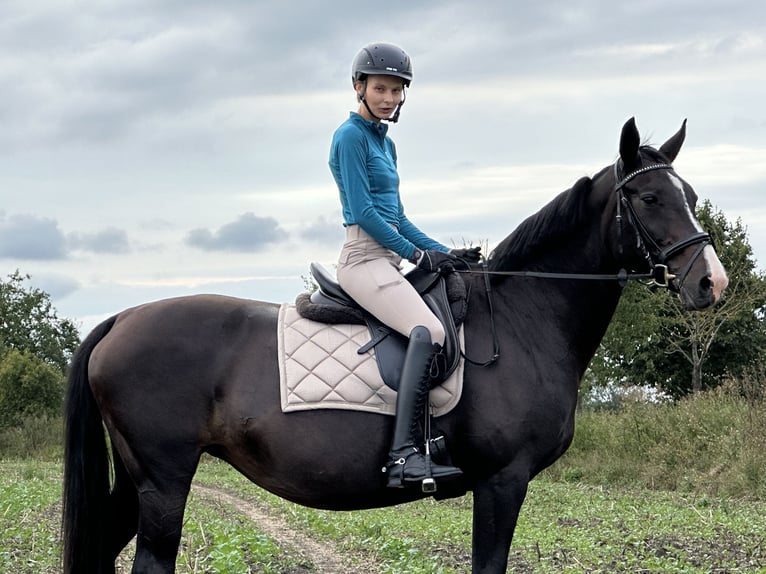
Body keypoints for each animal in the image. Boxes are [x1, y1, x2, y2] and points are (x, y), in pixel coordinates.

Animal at [63, 118, 728, 574]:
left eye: (692, 195)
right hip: (165, 480)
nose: (711, 283)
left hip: (138, 482)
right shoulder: (503, 481)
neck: (523, 319)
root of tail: (123, 318)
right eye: (649, 199)